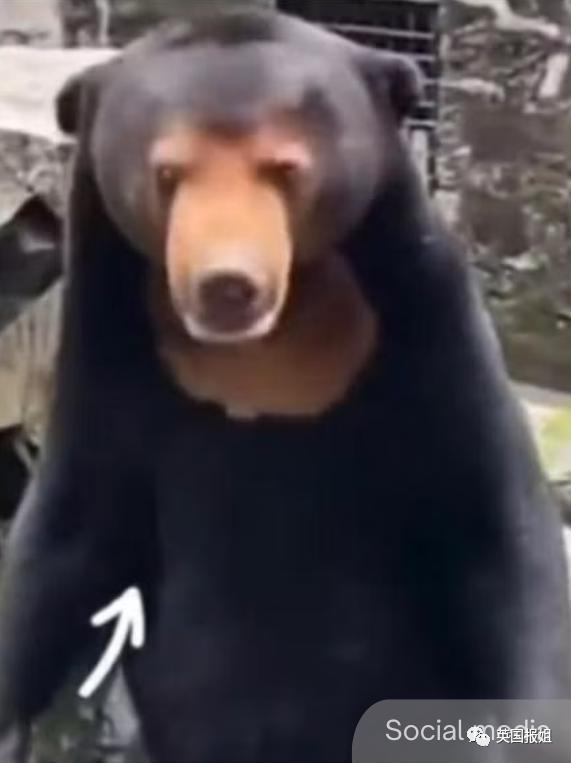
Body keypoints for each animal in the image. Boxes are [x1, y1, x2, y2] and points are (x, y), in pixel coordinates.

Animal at [0, 9, 569, 763]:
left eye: (284, 170)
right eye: (167, 173)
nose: (226, 284)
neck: (268, 352)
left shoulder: (430, 329)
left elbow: (496, 537)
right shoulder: (106, 346)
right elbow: (64, 540)